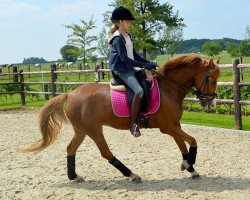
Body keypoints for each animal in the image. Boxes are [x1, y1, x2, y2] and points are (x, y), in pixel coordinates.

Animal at [22, 55, 221, 183]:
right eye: (211, 79)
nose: (212, 104)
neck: (168, 88)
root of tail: (70, 94)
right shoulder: (167, 127)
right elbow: (192, 141)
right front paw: (190, 163)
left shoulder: (174, 124)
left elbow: (182, 145)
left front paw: (190, 167)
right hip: (94, 130)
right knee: (106, 153)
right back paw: (132, 175)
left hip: (82, 130)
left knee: (71, 149)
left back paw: (74, 176)